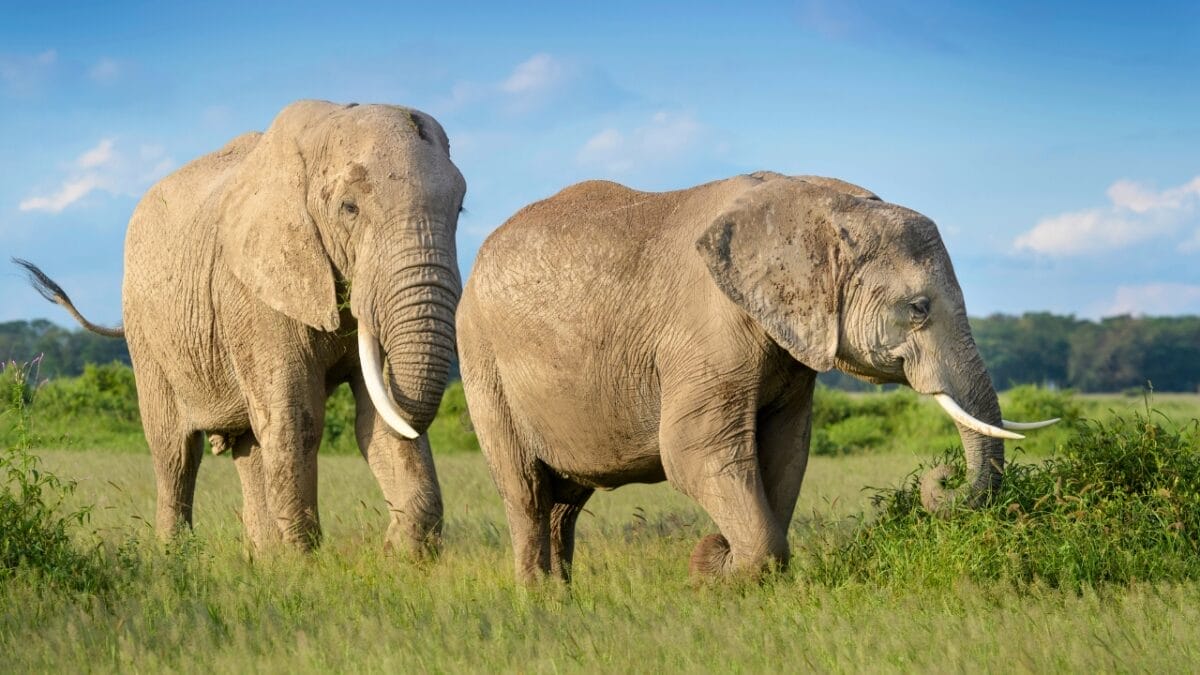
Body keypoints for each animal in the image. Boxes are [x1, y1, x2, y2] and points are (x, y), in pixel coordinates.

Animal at [16, 99, 466, 554]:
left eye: (460, 209)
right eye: (349, 209)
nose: (386, 541)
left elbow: (378, 416)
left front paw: (401, 555)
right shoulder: (252, 291)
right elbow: (298, 418)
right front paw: (306, 561)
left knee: (248, 445)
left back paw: (262, 556)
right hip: (144, 329)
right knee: (174, 450)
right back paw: (175, 555)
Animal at [456, 171, 1057, 583]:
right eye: (918, 309)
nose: (942, 476)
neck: (820, 205)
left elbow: (785, 449)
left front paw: (720, 566)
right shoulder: (706, 329)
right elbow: (695, 449)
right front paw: (715, 569)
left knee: (565, 502)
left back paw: (564, 596)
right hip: (482, 361)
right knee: (526, 492)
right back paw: (539, 598)